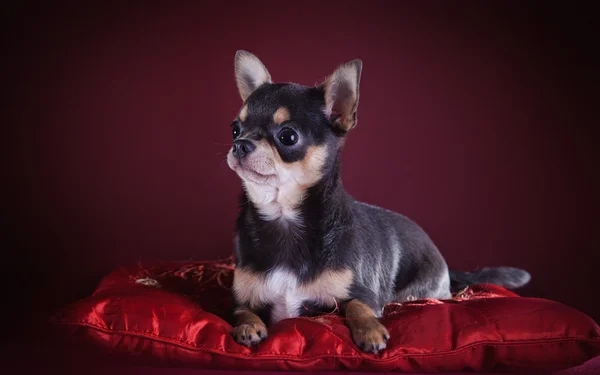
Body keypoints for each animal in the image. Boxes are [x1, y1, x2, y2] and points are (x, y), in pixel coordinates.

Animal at [226, 51, 528, 354]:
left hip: (419, 291)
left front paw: (370, 331)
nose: (240, 144)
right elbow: (241, 311)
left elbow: (358, 307)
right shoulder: (244, 298)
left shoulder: (362, 294)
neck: (283, 217)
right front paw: (249, 326)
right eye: (235, 129)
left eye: (288, 136)